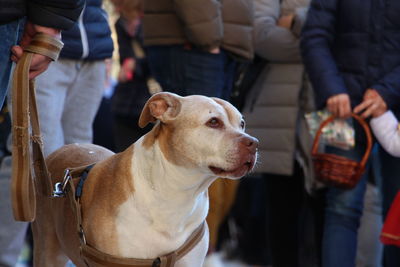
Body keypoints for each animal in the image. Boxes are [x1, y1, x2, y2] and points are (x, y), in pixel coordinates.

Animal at [32, 92, 260, 267]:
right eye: (213, 122)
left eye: (242, 124)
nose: (254, 143)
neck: (178, 192)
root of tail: (64, 149)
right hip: (47, 250)